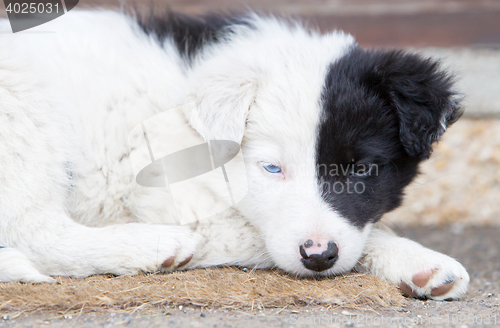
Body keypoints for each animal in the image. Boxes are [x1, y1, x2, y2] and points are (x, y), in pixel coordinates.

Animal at [0, 10, 468, 300]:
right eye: (272, 168)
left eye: (363, 169)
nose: (318, 255)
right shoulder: (167, 194)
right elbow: (260, 233)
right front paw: (417, 257)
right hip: (24, 105)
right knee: (36, 230)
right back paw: (154, 245)